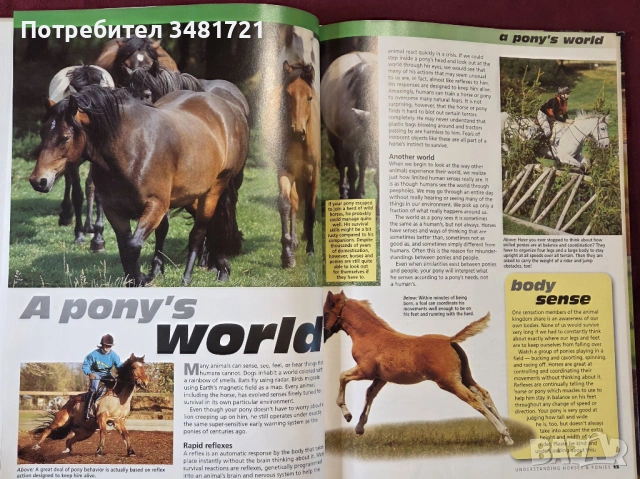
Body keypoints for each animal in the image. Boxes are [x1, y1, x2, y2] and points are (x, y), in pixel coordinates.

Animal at [30, 85, 249, 286]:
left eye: (65, 137)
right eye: (42, 132)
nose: (38, 180)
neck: (133, 149)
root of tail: (227, 110)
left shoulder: (156, 205)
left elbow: (133, 245)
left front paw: (140, 280)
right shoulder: (114, 210)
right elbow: (125, 247)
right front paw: (136, 280)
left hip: (214, 189)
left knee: (200, 230)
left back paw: (194, 276)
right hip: (189, 195)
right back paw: (216, 267)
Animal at [46, 65, 113, 251]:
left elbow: (98, 193)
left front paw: (98, 238)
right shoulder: (72, 162)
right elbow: (77, 194)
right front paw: (79, 234)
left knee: (90, 185)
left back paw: (89, 226)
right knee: (69, 181)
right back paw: (67, 215)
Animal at [321, 52, 379, 200]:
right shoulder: (349, 145)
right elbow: (352, 172)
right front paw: (351, 195)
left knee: (362, 165)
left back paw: (360, 192)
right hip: (333, 136)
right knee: (341, 163)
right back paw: (344, 192)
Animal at [323, 291, 514, 446]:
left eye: (326, 312)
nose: (323, 334)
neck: (369, 335)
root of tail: (449, 340)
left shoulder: (366, 371)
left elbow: (342, 376)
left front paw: (347, 415)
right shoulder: (381, 378)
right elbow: (370, 394)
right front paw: (359, 428)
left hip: (449, 382)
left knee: (475, 400)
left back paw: (504, 433)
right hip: (465, 377)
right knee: (485, 395)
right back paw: (506, 436)